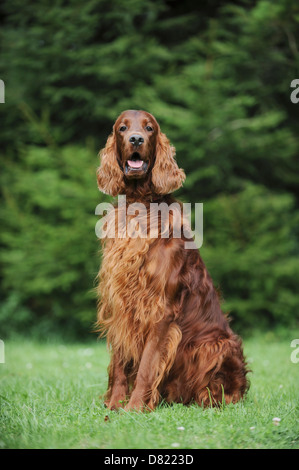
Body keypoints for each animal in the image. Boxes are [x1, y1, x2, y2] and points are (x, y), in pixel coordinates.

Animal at [95, 110, 248, 412]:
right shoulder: (120, 302)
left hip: (215, 344)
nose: (136, 139)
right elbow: (120, 363)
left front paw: (134, 408)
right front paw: (115, 404)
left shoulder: (160, 308)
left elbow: (146, 366)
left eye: (149, 128)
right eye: (122, 128)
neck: (139, 206)